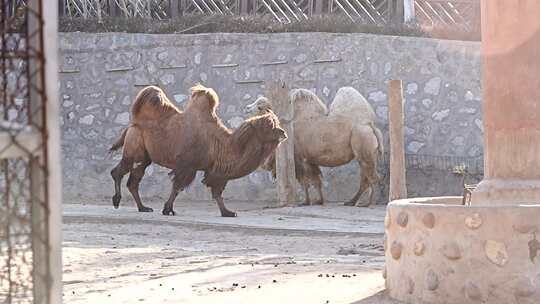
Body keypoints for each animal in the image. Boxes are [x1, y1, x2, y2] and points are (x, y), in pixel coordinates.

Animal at [109, 84, 286, 217]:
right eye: (270, 126)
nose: (284, 133)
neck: (219, 144)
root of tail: (133, 123)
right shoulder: (187, 166)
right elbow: (177, 187)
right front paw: (168, 209)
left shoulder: (215, 170)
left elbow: (217, 191)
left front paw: (228, 212)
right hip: (135, 148)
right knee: (120, 171)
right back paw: (117, 201)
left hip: (145, 157)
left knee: (133, 180)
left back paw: (143, 208)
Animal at [246, 86, 384, 208]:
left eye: (260, 106)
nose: (247, 108)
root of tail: (371, 126)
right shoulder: (310, 159)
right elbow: (316, 180)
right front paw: (319, 201)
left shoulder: (299, 157)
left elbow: (304, 181)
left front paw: (305, 202)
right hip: (366, 151)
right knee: (365, 177)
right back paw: (351, 201)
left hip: (362, 142)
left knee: (372, 176)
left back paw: (368, 203)